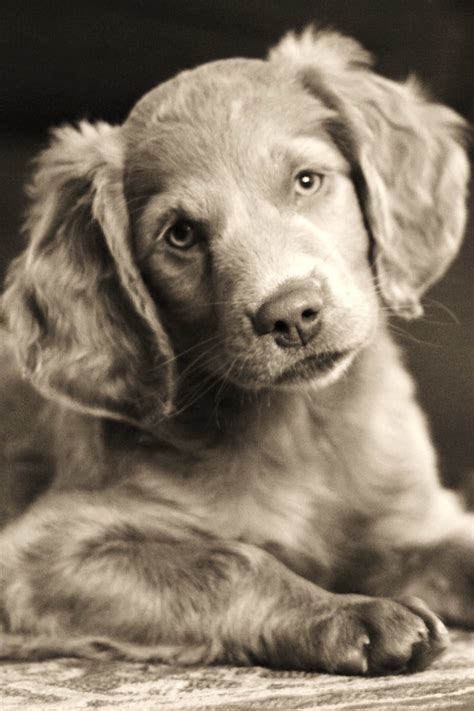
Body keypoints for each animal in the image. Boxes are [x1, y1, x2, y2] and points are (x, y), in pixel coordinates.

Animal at [0, 26, 474, 672]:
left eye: (307, 180)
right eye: (180, 234)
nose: (292, 314)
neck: (300, 429)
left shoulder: (411, 519)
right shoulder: (41, 556)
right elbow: (230, 560)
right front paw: (352, 614)